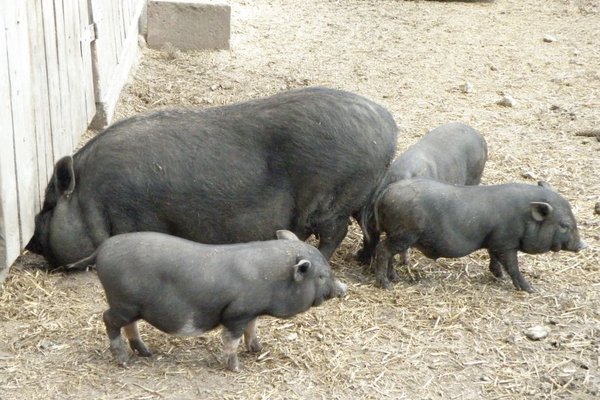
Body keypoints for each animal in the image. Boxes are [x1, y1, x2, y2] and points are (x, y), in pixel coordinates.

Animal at [27, 87, 398, 266]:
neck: (93, 197)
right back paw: (361, 259)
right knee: (368, 226)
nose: (30, 243)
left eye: (47, 207)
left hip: (333, 198)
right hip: (362, 194)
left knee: (337, 230)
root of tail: (388, 124)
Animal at [68, 231, 346, 372]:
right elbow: (231, 341)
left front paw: (257, 349)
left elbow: (252, 329)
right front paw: (236, 369)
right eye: (322, 275)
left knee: (129, 325)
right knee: (108, 319)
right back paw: (124, 360)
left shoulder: (251, 312)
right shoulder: (235, 314)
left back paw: (146, 352)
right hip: (123, 303)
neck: (271, 278)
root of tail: (103, 248)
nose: (343, 289)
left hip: (132, 307)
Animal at [376, 180, 584, 290]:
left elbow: (495, 259)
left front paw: (499, 276)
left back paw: (395, 278)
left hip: (397, 235)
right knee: (383, 250)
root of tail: (386, 192)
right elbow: (512, 266)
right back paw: (386, 285)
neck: (523, 218)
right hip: (404, 234)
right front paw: (530, 289)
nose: (583, 245)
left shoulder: (495, 242)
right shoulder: (506, 242)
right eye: (564, 225)